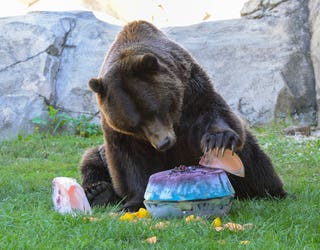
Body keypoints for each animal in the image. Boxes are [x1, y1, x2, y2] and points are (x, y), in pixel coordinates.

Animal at [80, 20, 288, 211]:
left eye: (155, 110)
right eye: (135, 125)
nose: (163, 143)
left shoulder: (191, 92)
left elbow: (212, 113)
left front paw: (218, 140)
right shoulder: (119, 132)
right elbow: (128, 162)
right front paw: (134, 202)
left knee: (252, 159)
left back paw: (270, 190)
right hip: (100, 156)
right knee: (92, 159)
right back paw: (97, 192)